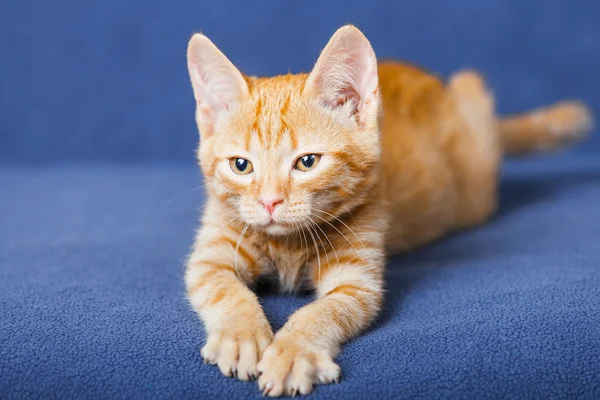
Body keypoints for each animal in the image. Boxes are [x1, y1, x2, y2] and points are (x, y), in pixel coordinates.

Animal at [183, 25, 592, 396]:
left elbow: (323, 311)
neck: (288, 244)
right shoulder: (211, 254)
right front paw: (241, 334)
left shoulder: (357, 280)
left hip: (476, 125)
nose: (269, 202)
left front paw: (294, 351)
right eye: (241, 166)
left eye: (308, 162)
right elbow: (224, 289)